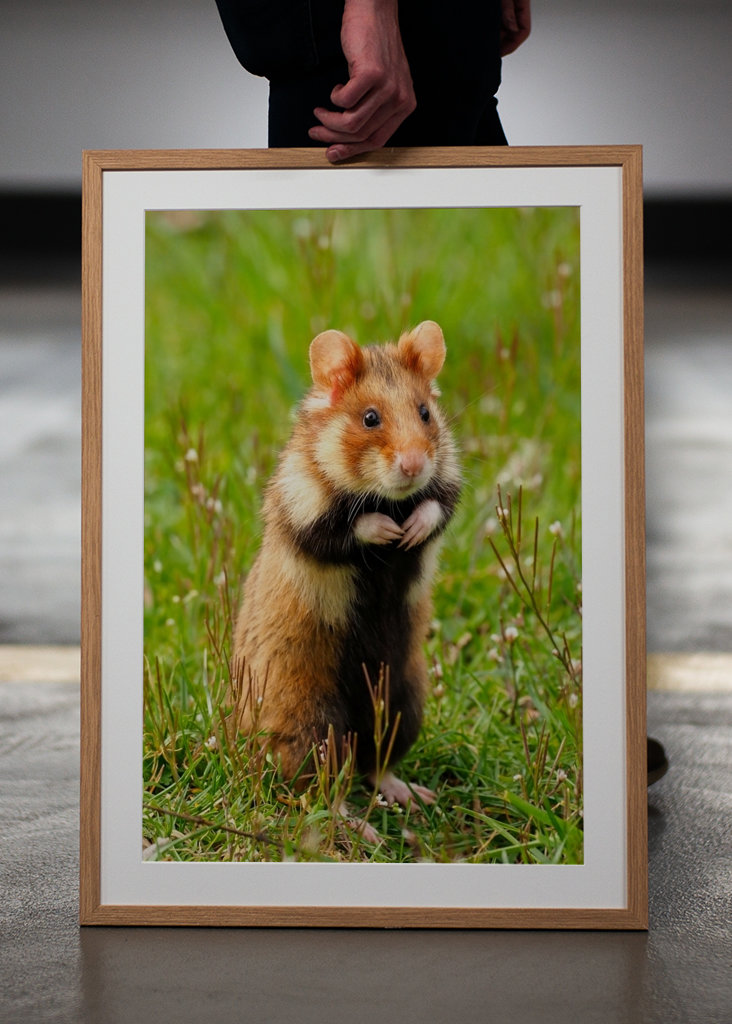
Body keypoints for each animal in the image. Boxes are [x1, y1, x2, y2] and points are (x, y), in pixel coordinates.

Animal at [232, 320, 461, 808]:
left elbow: (437, 508)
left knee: (374, 764)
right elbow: (346, 528)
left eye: (425, 413)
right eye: (370, 418)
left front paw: (409, 531)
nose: (414, 465)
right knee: (321, 789)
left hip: (403, 699)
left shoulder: (448, 482)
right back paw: (358, 822)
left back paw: (416, 796)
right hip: (309, 721)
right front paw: (388, 531)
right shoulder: (299, 510)